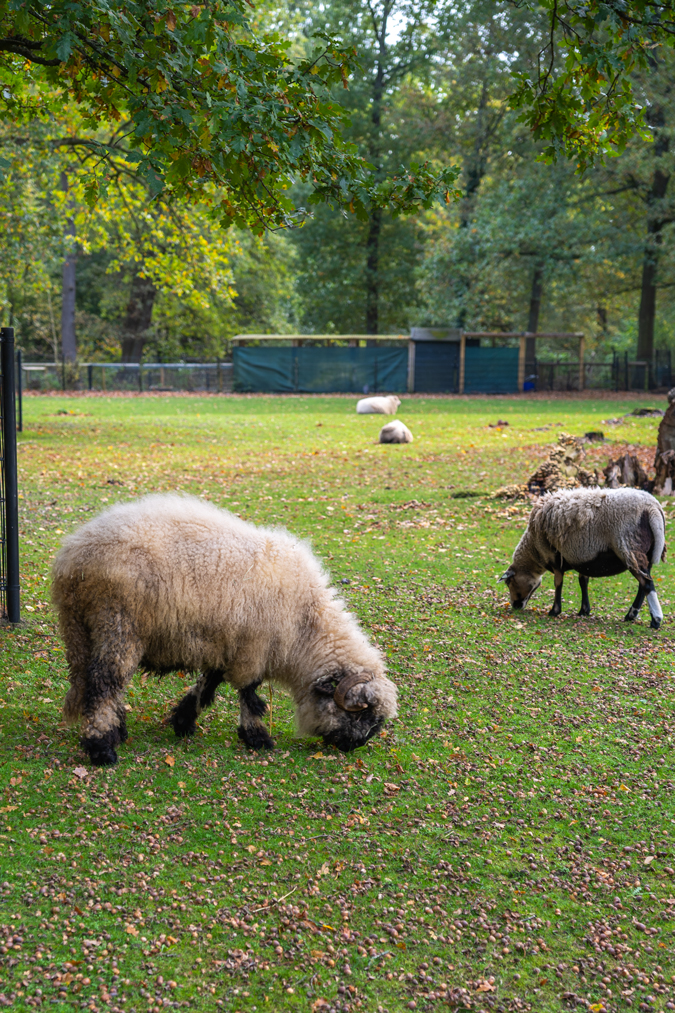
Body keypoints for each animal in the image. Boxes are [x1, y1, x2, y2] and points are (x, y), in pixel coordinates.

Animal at [52, 494, 398, 766]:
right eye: (358, 714)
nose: (356, 745)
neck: (305, 626)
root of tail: (74, 556)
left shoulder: (225, 644)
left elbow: (208, 684)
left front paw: (183, 721)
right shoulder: (253, 648)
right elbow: (249, 694)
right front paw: (257, 738)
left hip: (82, 629)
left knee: (99, 682)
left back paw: (117, 730)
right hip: (117, 623)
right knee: (103, 683)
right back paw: (102, 748)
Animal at [499, 487, 666, 628]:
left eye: (509, 582)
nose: (515, 606)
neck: (534, 549)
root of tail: (652, 508)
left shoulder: (555, 558)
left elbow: (558, 583)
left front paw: (554, 611)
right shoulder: (582, 558)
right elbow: (583, 582)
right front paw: (584, 610)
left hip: (628, 546)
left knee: (647, 584)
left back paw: (656, 620)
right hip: (643, 553)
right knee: (644, 583)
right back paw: (631, 615)